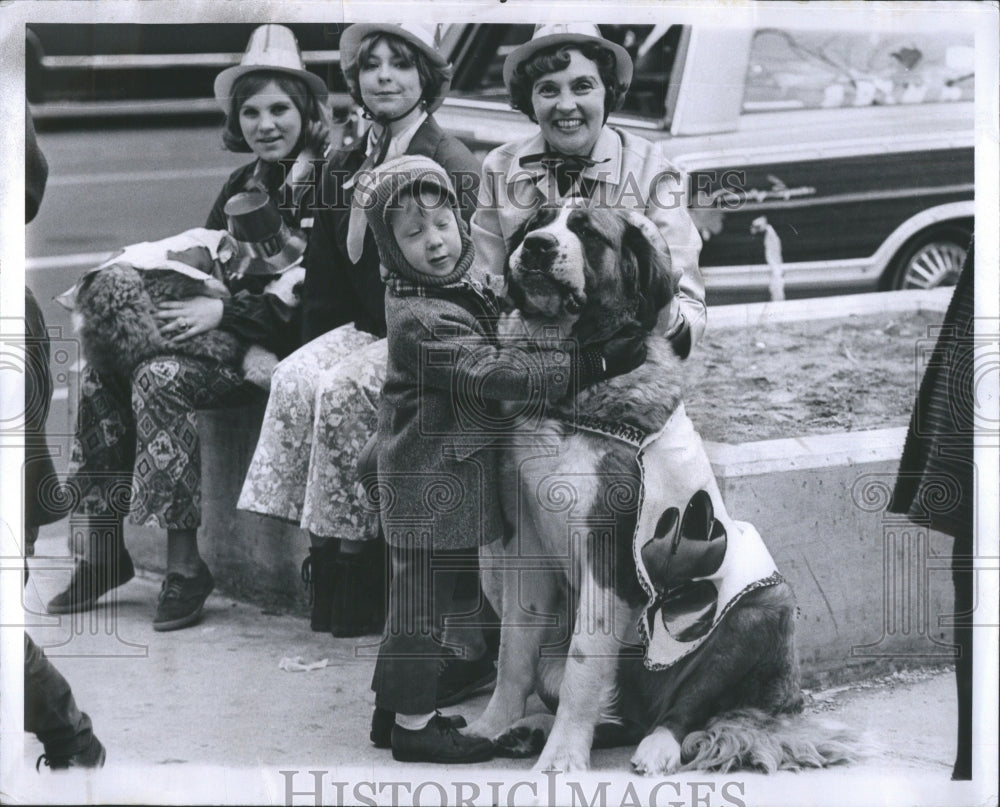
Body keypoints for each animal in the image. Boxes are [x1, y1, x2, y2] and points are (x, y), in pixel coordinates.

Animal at [462, 200, 860, 776]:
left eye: (586, 232)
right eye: (535, 221)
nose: (536, 246)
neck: (573, 377)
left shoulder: (608, 552)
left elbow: (585, 662)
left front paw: (562, 761)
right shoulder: (527, 545)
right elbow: (513, 649)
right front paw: (489, 727)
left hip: (763, 605)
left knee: (684, 707)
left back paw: (657, 746)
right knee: (617, 710)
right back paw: (530, 729)